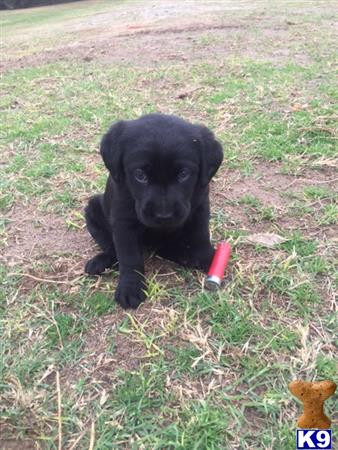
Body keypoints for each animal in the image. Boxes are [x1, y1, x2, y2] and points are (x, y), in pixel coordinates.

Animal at [84, 113, 222, 310]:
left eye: (183, 174)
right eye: (140, 175)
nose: (164, 216)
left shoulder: (200, 206)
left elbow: (201, 235)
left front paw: (210, 259)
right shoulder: (123, 221)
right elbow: (129, 256)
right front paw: (130, 288)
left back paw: (186, 255)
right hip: (93, 208)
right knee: (111, 248)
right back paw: (100, 261)